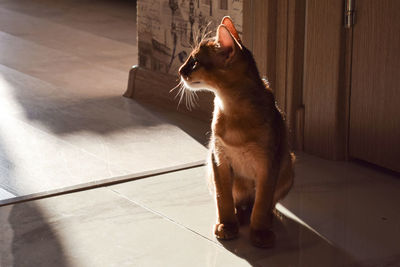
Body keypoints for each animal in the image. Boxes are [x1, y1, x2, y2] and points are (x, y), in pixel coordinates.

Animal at [177, 15, 294, 248]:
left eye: (194, 62)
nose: (180, 71)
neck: (232, 109)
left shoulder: (268, 165)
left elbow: (262, 203)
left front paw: (260, 232)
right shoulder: (219, 160)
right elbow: (223, 199)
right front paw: (227, 225)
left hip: (288, 164)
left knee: (263, 205)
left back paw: (264, 220)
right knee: (239, 202)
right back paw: (239, 216)